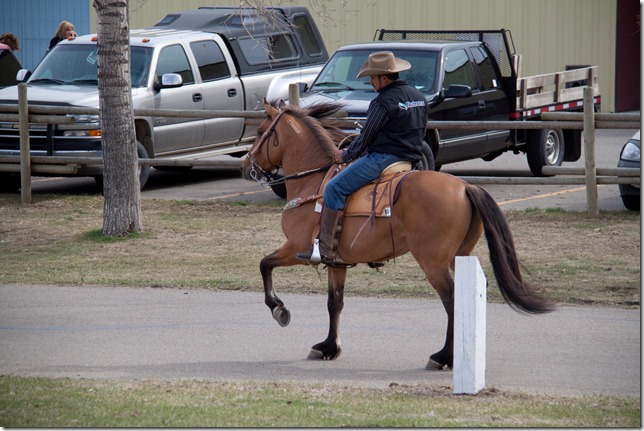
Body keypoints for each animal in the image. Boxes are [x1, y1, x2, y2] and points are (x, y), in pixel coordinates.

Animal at [242, 99, 552, 370]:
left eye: (259, 132)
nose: (245, 166)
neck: (315, 182)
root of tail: (465, 187)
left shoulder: (297, 248)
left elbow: (264, 264)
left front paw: (279, 309)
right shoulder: (336, 262)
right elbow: (334, 303)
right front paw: (329, 347)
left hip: (433, 263)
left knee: (452, 301)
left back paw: (443, 356)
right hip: (459, 256)